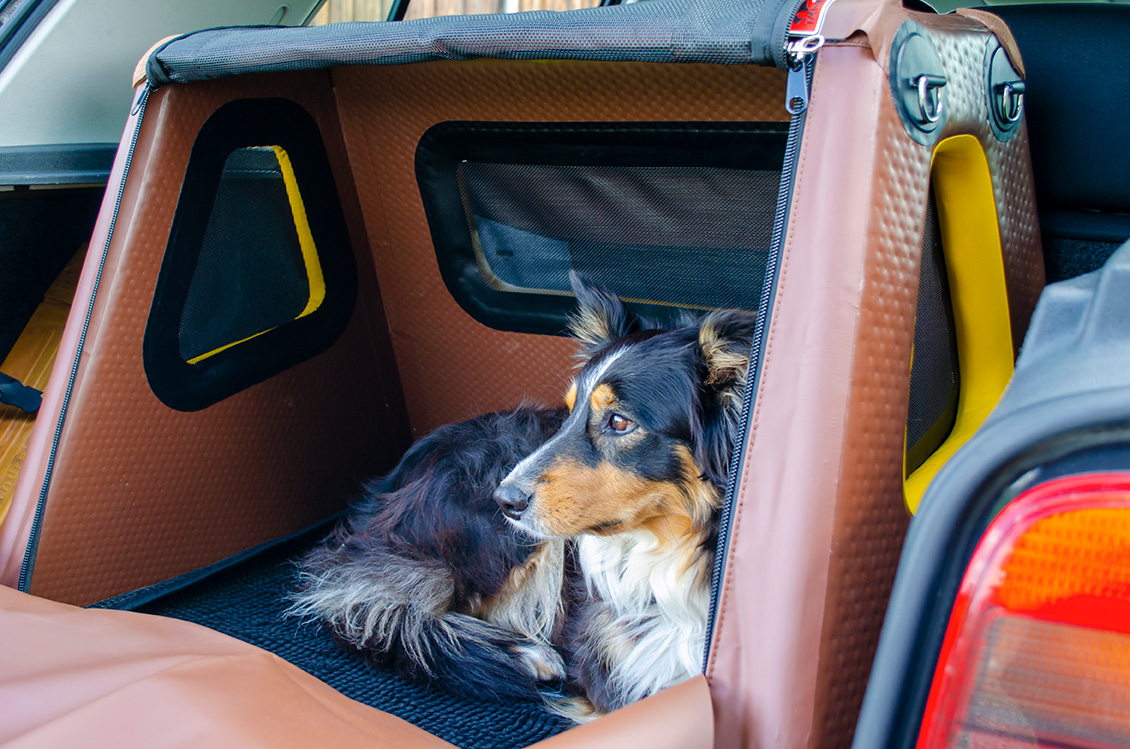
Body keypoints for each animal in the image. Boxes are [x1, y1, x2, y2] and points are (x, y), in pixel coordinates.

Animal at [291, 272, 754, 718]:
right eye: (569, 412)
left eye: (620, 422)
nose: (504, 501)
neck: (684, 549)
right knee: (387, 608)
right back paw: (521, 654)